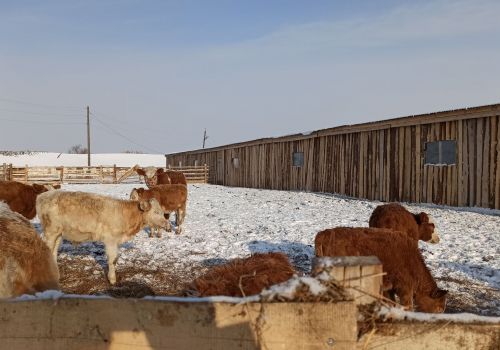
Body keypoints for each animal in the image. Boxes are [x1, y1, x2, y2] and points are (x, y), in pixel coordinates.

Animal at [36, 189, 168, 284]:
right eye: (156, 212)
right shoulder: (111, 239)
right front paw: (112, 280)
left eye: (162, 212)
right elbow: (113, 260)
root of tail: (43, 195)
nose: (167, 224)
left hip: (58, 233)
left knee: (54, 251)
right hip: (50, 231)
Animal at [314, 227, 448, 314]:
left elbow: (391, 304)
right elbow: (407, 306)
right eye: (439, 308)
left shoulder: (388, 288)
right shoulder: (404, 288)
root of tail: (323, 234)